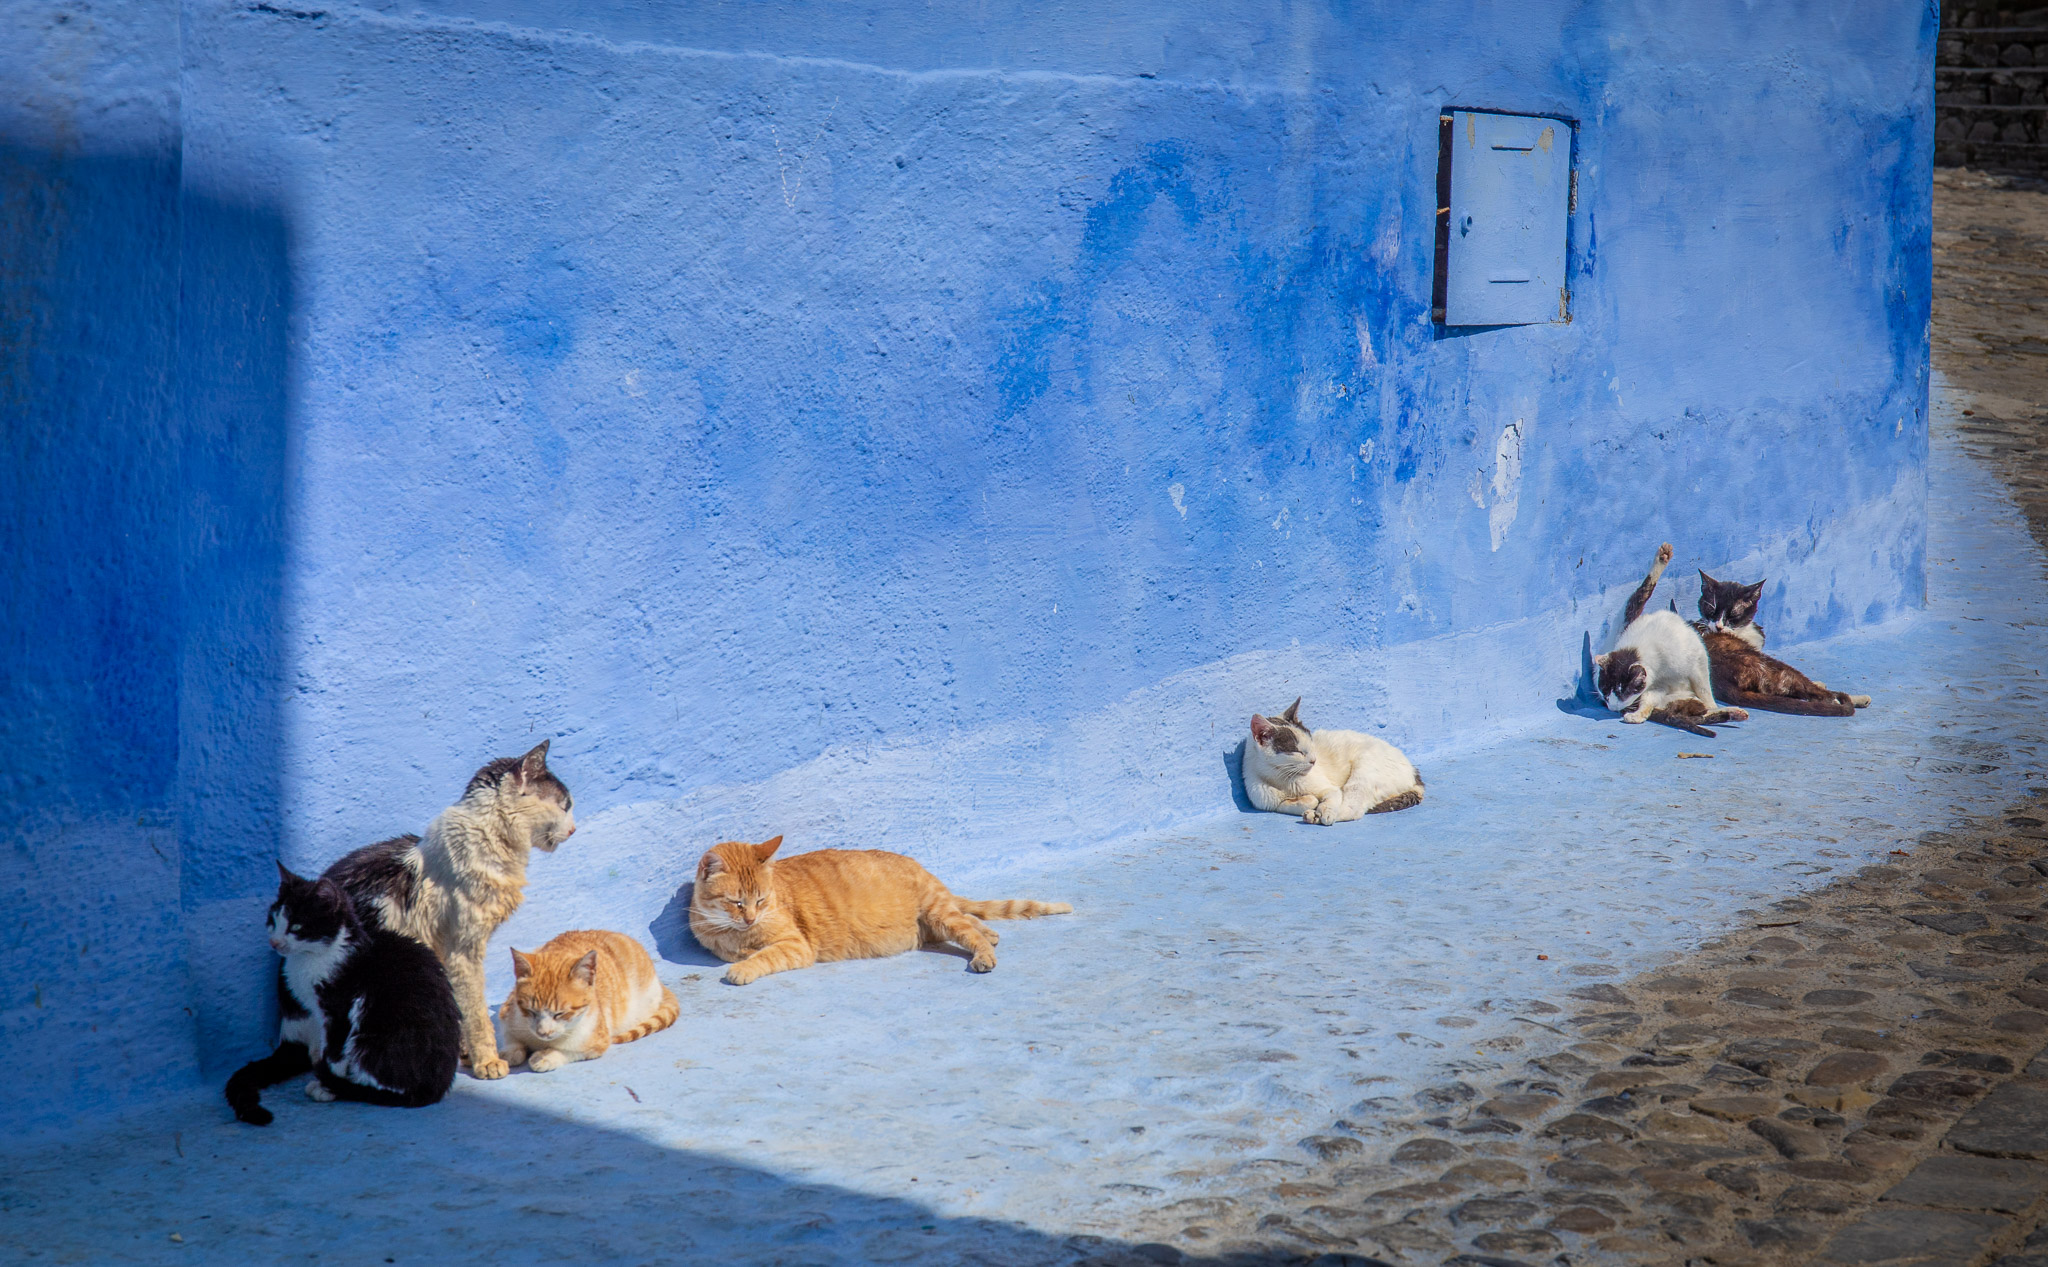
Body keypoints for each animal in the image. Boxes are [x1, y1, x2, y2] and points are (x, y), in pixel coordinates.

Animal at [226, 867, 462, 1121]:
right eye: (273, 920)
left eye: (296, 927)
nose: (275, 942)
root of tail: (435, 1088)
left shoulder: (339, 1007)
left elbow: (335, 1053)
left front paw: (327, 1086)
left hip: (375, 1032)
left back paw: (349, 1087)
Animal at [688, 839, 1073, 986]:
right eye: (738, 902)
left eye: (761, 899)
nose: (751, 917)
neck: (730, 931)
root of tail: (922, 867)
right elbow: (746, 952)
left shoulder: (796, 945)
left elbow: (762, 956)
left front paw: (743, 968)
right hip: (938, 921)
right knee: (971, 921)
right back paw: (991, 935)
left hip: (938, 912)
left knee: (968, 929)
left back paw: (985, 954)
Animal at [1228, 700, 1425, 826]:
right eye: (1298, 751)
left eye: (1311, 745)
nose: (1314, 761)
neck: (1282, 778)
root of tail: (1413, 769)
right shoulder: (1265, 802)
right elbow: (1294, 802)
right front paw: (1307, 801)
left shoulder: (1331, 789)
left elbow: (1329, 798)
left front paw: (1324, 809)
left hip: (1364, 771)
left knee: (1353, 810)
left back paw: (1318, 816)